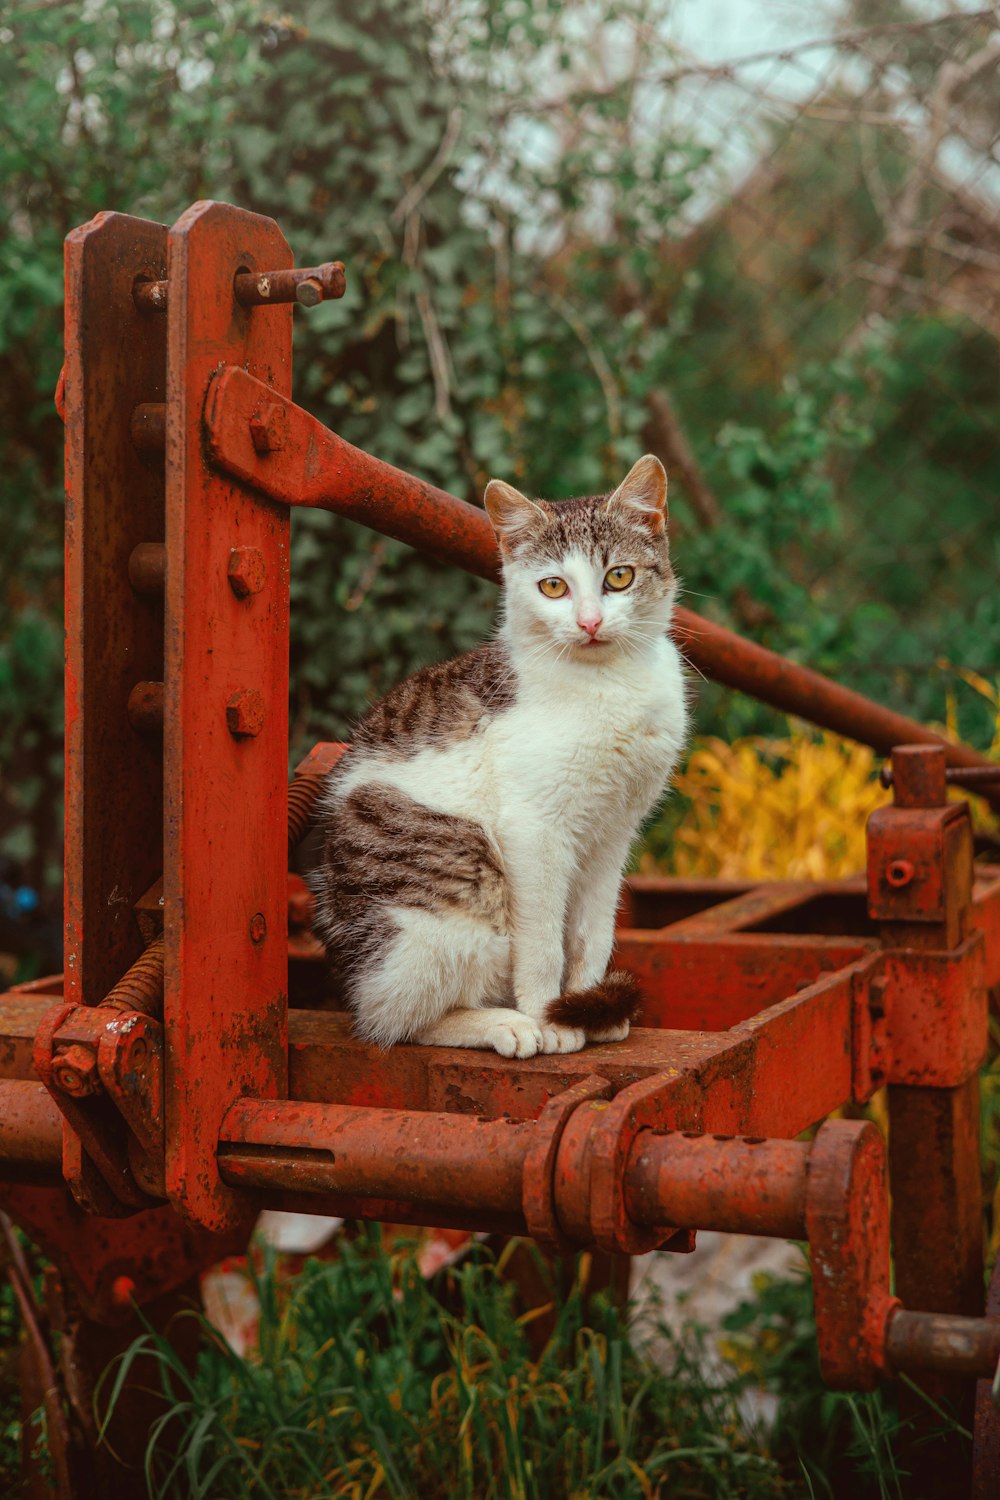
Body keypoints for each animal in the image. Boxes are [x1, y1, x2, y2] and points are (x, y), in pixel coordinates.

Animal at [313, 453, 689, 1056]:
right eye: (553, 586)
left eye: (619, 577)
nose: (589, 622)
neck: (609, 683)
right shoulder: (533, 831)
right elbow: (541, 943)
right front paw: (550, 1018)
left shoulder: (614, 833)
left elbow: (592, 933)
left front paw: (588, 1007)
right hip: (459, 880)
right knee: (391, 1019)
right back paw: (501, 1024)